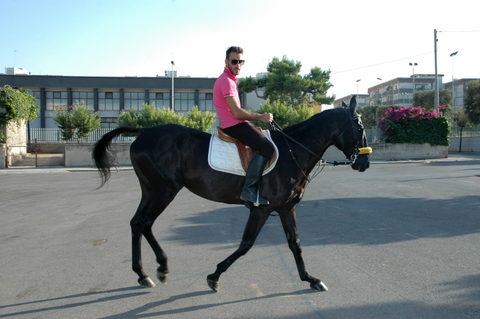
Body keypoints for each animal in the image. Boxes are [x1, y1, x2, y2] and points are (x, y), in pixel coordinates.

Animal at [94, 95, 372, 292]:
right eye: (359, 128)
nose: (364, 163)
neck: (293, 150)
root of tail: (144, 132)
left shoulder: (286, 208)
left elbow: (296, 243)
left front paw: (310, 279)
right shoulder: (261, 209)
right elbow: (245, 245)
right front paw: (214, 276)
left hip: (151, 190)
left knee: (138, 222)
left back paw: (144, 274)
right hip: (164, 191)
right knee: (144, 222)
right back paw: (159, 268)